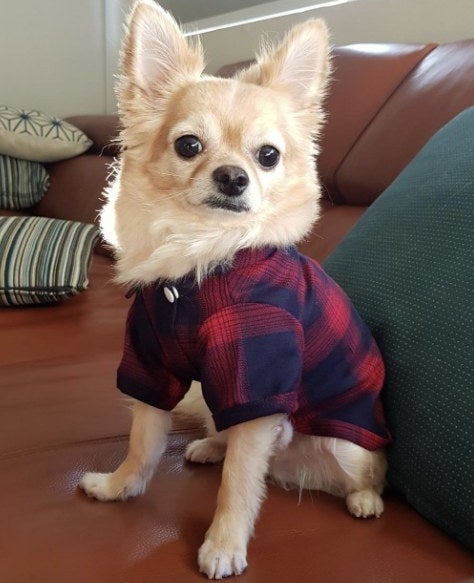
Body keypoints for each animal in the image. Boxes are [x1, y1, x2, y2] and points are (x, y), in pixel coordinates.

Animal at [79, 2, 390, 580]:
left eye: (268, 156)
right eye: (188, 146)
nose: (232, 176)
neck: (202, 259)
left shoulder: (257, 384)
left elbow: (239, 485)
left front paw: (223, 546)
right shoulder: (152, 363)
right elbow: (143, 441)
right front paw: (119, 487)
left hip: (346, 443)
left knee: (370, 469)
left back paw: (365, 499)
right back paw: (210, 446)